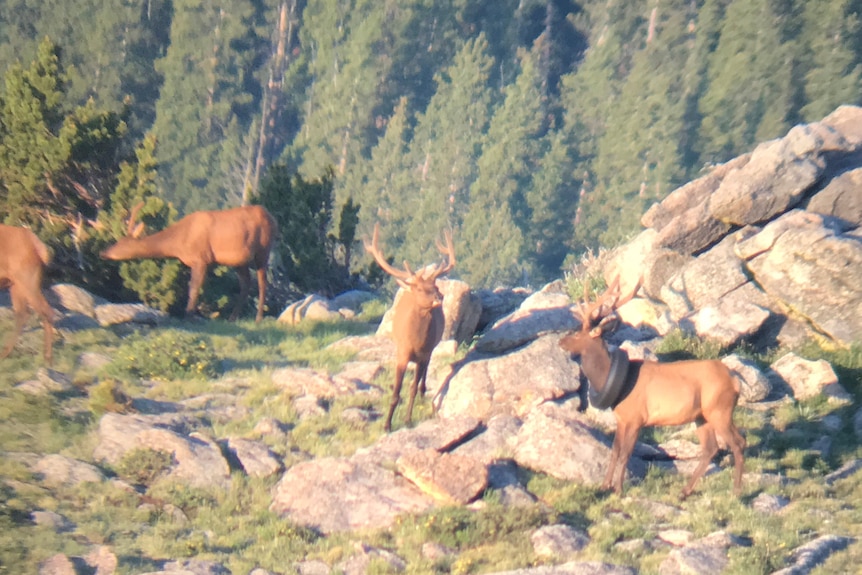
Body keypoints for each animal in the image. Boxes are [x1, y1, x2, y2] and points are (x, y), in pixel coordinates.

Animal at [101, 202, 278, 322]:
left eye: (120, 243)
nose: (103, 253)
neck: (179, 242)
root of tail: (272, 218)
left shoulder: (201, 258)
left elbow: (193, 288)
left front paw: (188, 315)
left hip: (263, 250)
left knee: (262, 282)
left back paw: (258, 318)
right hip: (239, 261)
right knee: (246, 283)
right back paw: (232, 318)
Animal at [366, 223, 460, 430]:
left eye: (436, 286)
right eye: (419, 288)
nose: (439, 297)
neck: (416, 342)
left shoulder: (424, 353)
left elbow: (412, 388)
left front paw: (408, 420)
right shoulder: (402, 353)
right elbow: (396, 392)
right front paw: (387, 425)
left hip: (431, 349)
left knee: (423, 375)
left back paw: (424, 391)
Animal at [556, 280, 744, 500]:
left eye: (579, 333)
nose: (561, 341)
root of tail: (734, 380)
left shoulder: (637, 418)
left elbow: (626, 453)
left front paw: (618, 489)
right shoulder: (622, 418)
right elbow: (615, 451)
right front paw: (604, 486)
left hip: (720, 409)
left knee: (738, 442)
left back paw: (736, 492)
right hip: (702, 416)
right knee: (710, 448)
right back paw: (684, 491)